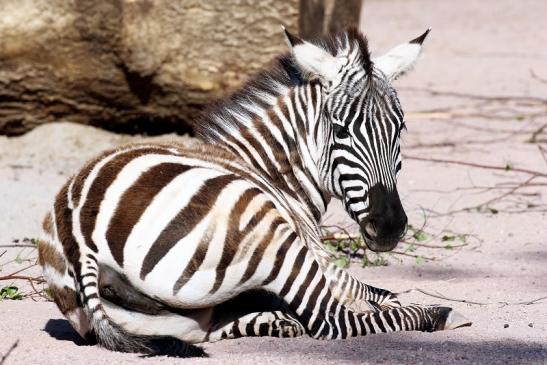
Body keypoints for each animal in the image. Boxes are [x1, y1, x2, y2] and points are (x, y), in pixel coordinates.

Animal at [38, 27, 470, 356]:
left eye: (400, 129)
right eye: (341, 131)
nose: (389, 227)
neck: (271, 170)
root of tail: (78, 234)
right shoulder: (319, 257)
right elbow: (377, 293)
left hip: (181, 320)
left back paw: (277, 320)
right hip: (269, 232)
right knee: (333, 320)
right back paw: (440, 314)